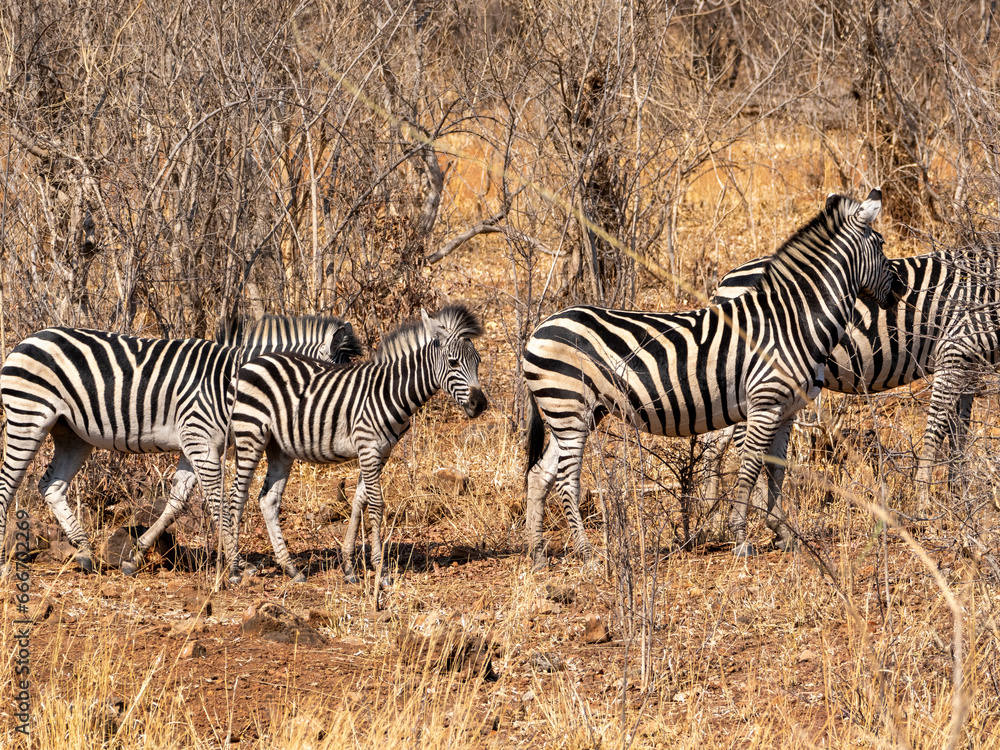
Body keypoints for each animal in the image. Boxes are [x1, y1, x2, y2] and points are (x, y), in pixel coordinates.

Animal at [0, 315, 362, 575]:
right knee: (8, 482)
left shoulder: (195, 444)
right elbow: (218, 501)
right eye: (336, 388)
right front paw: (237, 565)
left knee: (51, 485)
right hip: (29, 417)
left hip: (72, 434)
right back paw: (6, 564)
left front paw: (136, 555)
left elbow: (176, 503)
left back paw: (86, 554)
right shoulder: (199, 438)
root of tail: (29, 338)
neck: (232, 384)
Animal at [225, 304, 488, 584]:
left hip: (279, 448)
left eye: (478, 361)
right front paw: (381, 570)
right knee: (236, 496)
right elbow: (376, 505)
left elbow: (359, 502)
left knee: (268, 501)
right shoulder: (368, 448)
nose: (480, 404)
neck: (391, 392)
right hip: (250, 434)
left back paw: (291, 569)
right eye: (453, 362)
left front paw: (349, 567)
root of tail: (251, 363)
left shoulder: (381, 453)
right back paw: (234, 569)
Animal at [522, 190, 903, 566]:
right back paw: (588, 555)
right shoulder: (764, 405)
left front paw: (783, 534)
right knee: (566, 481)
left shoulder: (787, 411)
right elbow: (749, 469)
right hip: (568, 407)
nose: (900, 291)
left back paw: (538, 555)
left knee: (540, 474)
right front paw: (741, 539)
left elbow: (776, 471)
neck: (794, 322)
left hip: (579, 412)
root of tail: (539, 328)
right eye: (882, 245)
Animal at [703, 241, 1000, 515]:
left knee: (716, 441)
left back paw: (711, 515)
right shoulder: (953, 353)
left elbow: (960, 434)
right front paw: (924, 506)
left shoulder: (969, 367)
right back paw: (760, 508)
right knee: (741, 440)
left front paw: (961, 502)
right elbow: (936, 432)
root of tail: (727, 279)